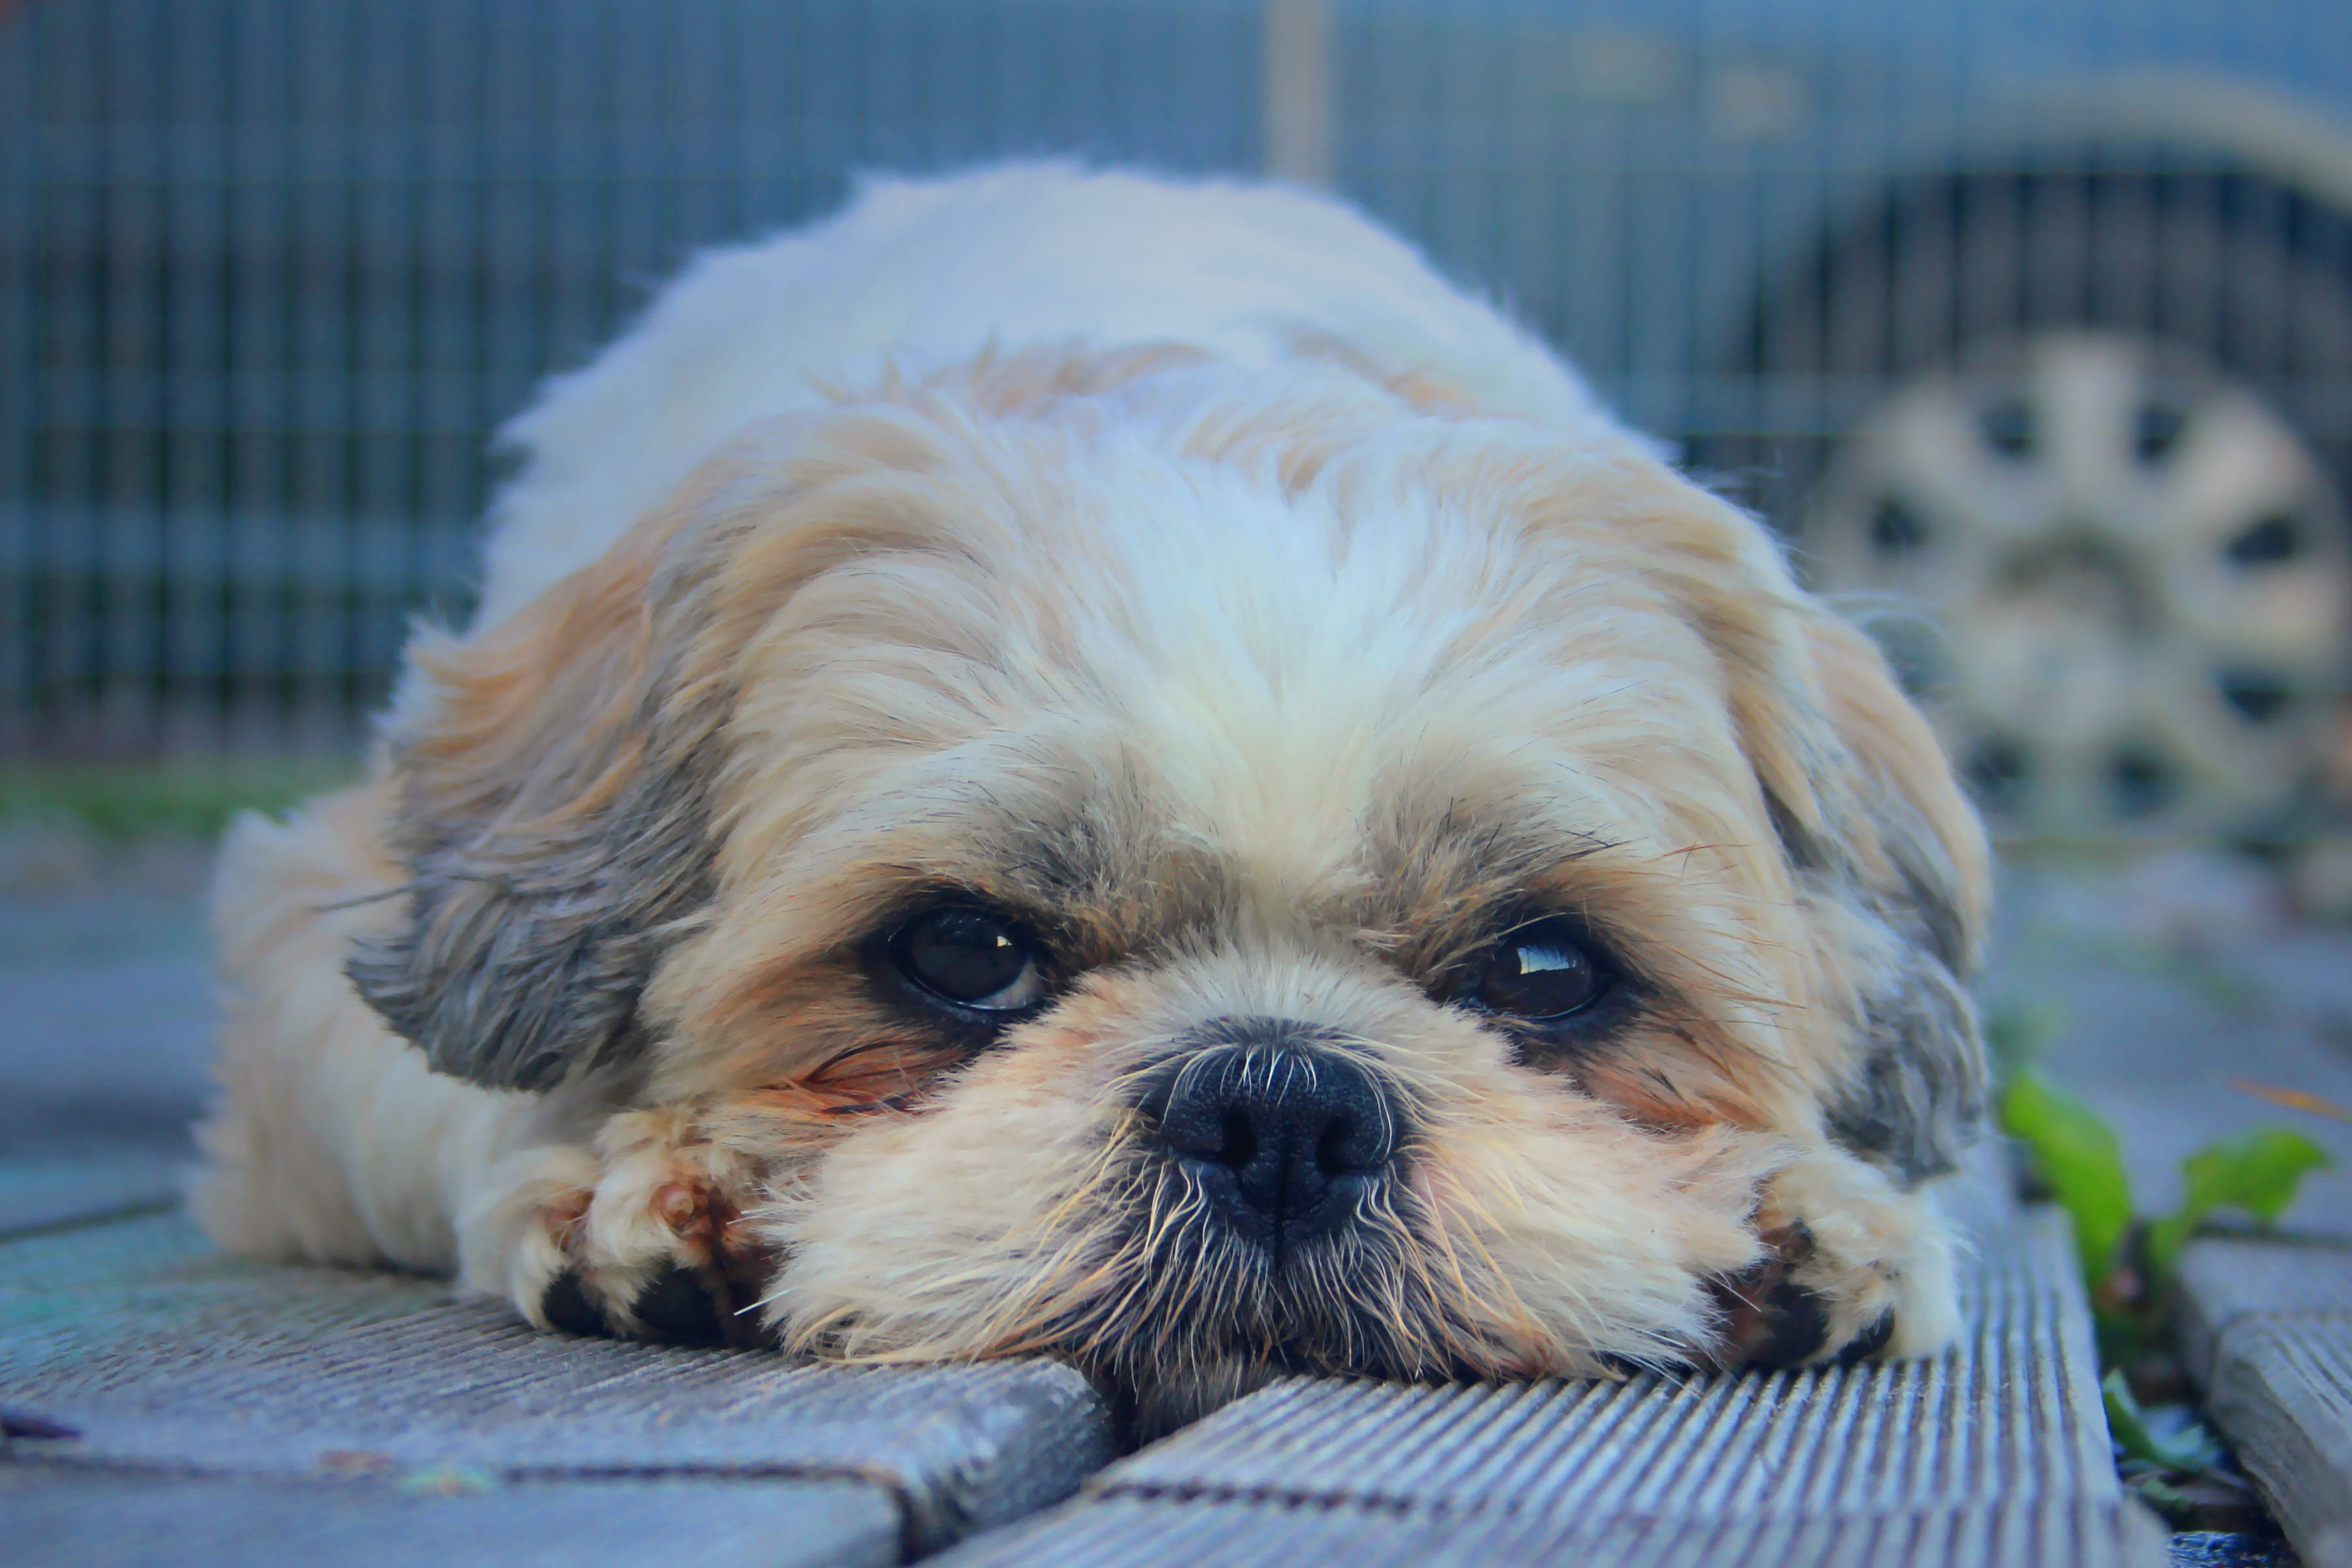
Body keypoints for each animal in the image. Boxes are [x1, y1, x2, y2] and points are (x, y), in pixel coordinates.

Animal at [197, 159, 1985, 1439]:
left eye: (1548, 971)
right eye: (960, 950)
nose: (1283, 1104)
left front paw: (1806, 1215)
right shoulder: (303, 948)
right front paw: (629, 1191)